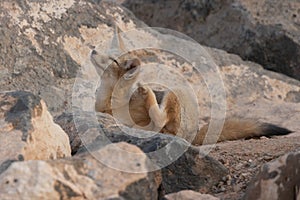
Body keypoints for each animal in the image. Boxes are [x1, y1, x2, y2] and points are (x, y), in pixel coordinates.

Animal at [91, 25, 292, 145]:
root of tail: (194, 134)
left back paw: (147, 93)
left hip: (175, 91)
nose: (92, 50)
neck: (109, 97)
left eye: (112, 60)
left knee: (160, 121)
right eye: (105, 50)